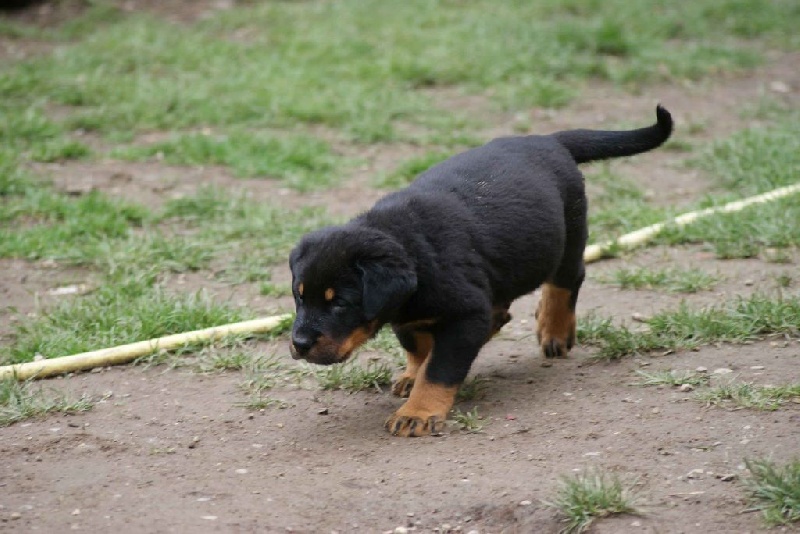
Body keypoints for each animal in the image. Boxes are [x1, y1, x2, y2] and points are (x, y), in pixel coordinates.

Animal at [290, 105, 672, 440]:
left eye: (340, 304)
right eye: (299, 297)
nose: (299, 344)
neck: (409, 246)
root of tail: (550, 140)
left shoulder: (465, 312)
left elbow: (440, 368)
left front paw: (418, 413)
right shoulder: (408, 314)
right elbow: (417, 346)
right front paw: (413, 375)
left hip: (569, 233)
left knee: (566, 281)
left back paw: (554, 330)